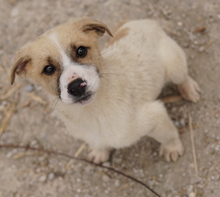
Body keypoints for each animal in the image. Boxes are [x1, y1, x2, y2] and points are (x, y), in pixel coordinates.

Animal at [10, 16, 201, 164]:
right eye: (48, 69)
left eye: (81, 51)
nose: (76, 86)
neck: (92, 111)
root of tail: (144, 21)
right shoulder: (90, 135)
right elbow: (98, 143)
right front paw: (100, 153)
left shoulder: (155, 114)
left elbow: (168, 134)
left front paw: (172, 147)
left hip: (174, 64)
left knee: (182, 77)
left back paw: (189, 89)